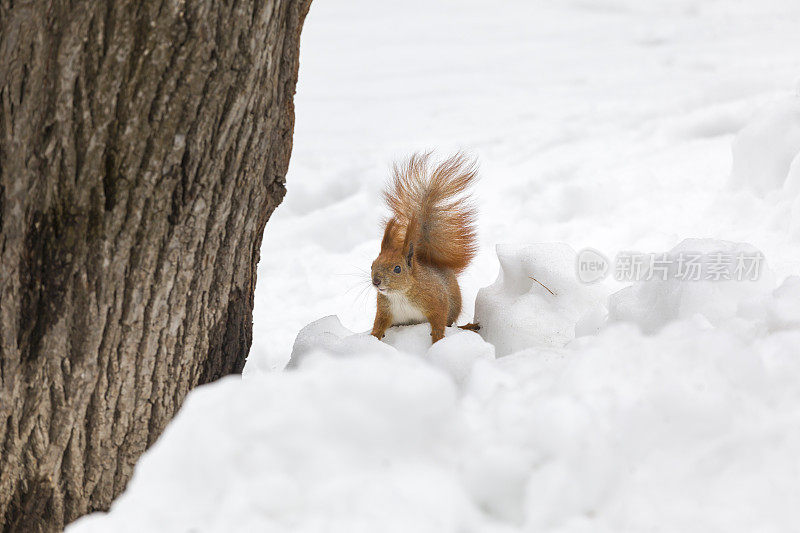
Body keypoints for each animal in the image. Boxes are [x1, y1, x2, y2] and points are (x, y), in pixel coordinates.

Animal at [370, 152, 478, 342]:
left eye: (397, 269)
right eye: (372, 265)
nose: (376, 281)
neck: (400, 294)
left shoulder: (436, 300)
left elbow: (439, 318)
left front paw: (437, 339)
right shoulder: (384, 310)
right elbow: (379, 323)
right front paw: (372, 338)